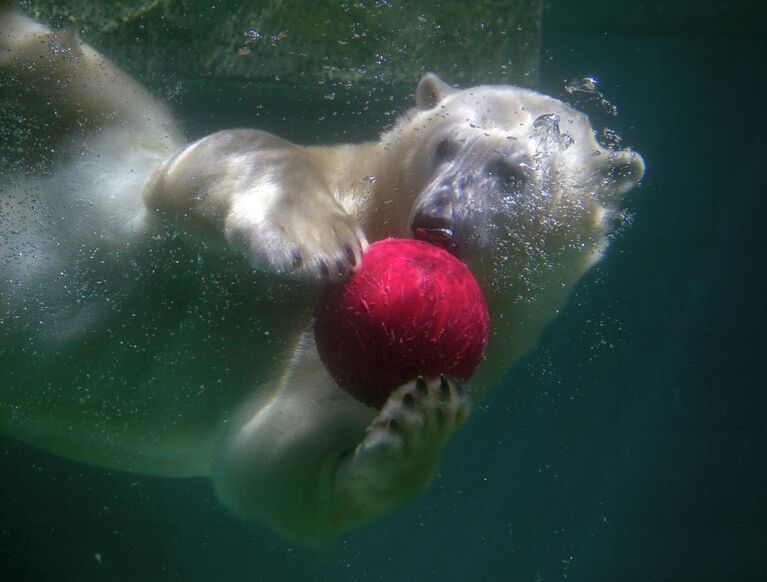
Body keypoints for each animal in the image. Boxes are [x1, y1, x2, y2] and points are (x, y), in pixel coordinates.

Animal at [1, 9, 640, 544]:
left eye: (514, 174)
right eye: (444, 145)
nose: (437, 221)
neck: (378, 210)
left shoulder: (353, 379)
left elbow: (272, 464)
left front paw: (421, 421)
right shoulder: (326, 174)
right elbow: (227, 153)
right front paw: (314, 240)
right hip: (87, 131)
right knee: (62, 65)